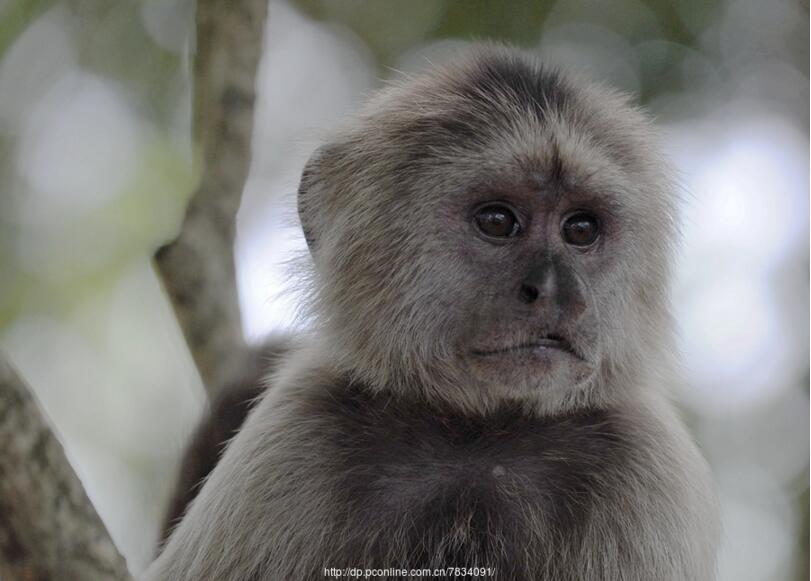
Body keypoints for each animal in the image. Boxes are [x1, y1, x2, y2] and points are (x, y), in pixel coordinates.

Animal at [143, 47, 720, 580]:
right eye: (497, 221)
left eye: (580, 229)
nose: (556, 292)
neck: (476, 436)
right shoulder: (295, 433)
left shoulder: (644, 464)